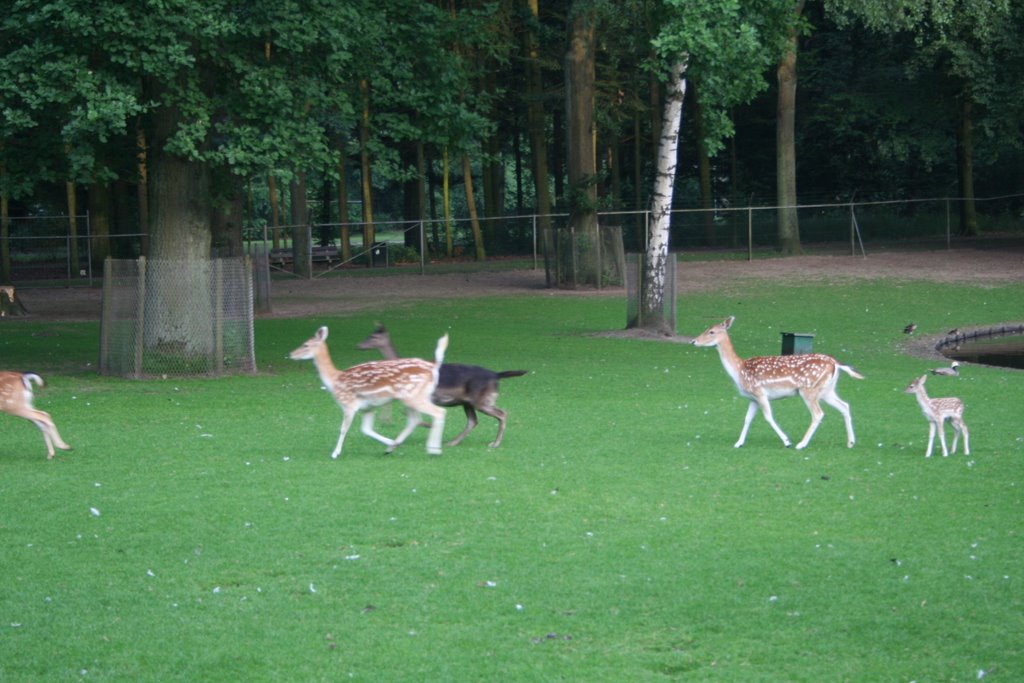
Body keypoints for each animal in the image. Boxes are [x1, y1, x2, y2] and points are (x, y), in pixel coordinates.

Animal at [288, 327, 448, 458]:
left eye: (305, 344)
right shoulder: (368, 407)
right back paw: (393, 447)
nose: (290, 354)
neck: (334, 380)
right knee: (415, 419)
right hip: (413, 397)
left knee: (438, 412)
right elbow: (366, 430)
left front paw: (335, 453)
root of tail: (433, 366)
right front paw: (390, 443)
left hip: (413, 395)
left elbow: (343, 429)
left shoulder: (349, 404)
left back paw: (434, 450)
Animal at [356, 325, 524, 448]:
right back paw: (452, 442)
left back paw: (494, 444)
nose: (359, 345)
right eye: (369, 334)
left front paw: (429, 425)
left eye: (374, 336)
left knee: (502, 413)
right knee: (473, 421)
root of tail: (496, 375)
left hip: (481, 399)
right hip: (467, 402)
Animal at [688, 317, 864, 450]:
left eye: (711, 331)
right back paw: (851, 442)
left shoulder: (759, 392)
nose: (693, 341)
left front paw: (786, 441)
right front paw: (738, 443)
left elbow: (768, 417)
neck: (739, 371)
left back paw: (801, 444)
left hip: (809, 389)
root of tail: (836, 364)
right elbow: (747, 418)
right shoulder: (752, 398)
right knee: (844, 405)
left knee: (818, 414)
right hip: (827, 390)